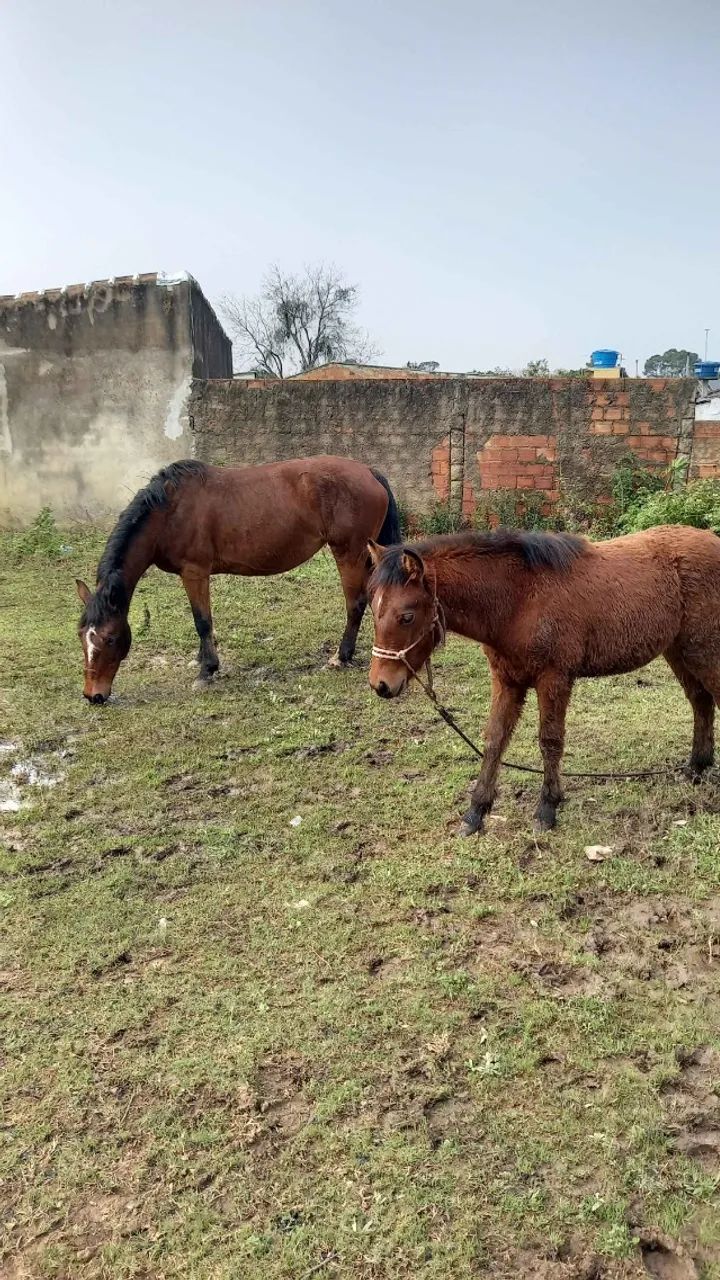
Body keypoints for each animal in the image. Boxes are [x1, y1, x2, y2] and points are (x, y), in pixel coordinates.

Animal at [76, 456, 400, 703]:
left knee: (355, 603)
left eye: (110, 638)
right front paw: (201, 660)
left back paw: (341, 657)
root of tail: (368, 471)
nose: (94, 695)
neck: (170, 512)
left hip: (349, 553)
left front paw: (207, 671)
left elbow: (202, 621)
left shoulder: (195, 572)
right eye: (82, 637)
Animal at [366, 525, 720, 833]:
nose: (380, 685)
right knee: (700, 702)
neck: (519, 600)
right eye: (373, 608)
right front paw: (476, 812)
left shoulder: (554, 678)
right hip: (679, 652)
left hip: (702, 651)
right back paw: (697, 766)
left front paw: (547, 809)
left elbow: (550, 741)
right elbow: (495, 739)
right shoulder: (507, 680)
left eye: (407, 616)